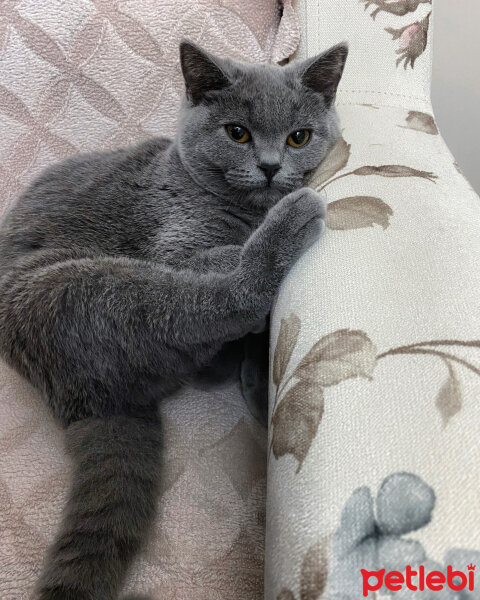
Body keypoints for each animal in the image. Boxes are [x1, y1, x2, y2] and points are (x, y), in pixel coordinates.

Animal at [0, 41, 344, 600]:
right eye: (237, 133)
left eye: (300, 137)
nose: (271, 167)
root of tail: (78, 396)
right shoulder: (174, 243)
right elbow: (221, 257)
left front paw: (255, 375)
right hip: (95, 288)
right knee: (223, 300)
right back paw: (291, 224)